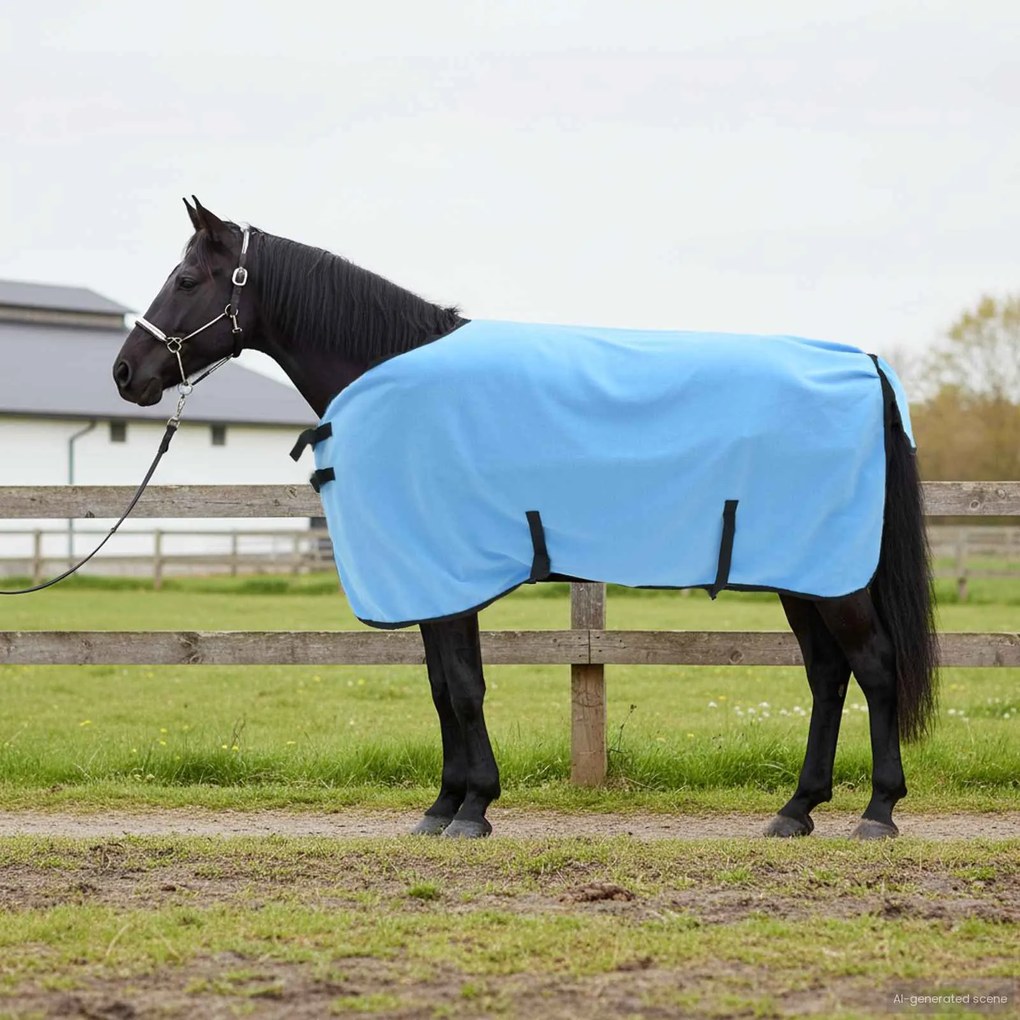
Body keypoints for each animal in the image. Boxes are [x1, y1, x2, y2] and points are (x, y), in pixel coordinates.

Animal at [112, 197, 938, 840]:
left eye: (186, 279)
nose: (125, 372)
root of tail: (862, 366)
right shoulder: (437, 580)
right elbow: (445, 685)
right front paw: (446, 804)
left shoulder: (445, 574)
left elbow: (462, 687)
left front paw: (472, 807)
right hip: (803, 572)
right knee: (828, 675)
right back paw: (796, 810)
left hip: (835, 579)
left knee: (875, 667)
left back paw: (878, 811)